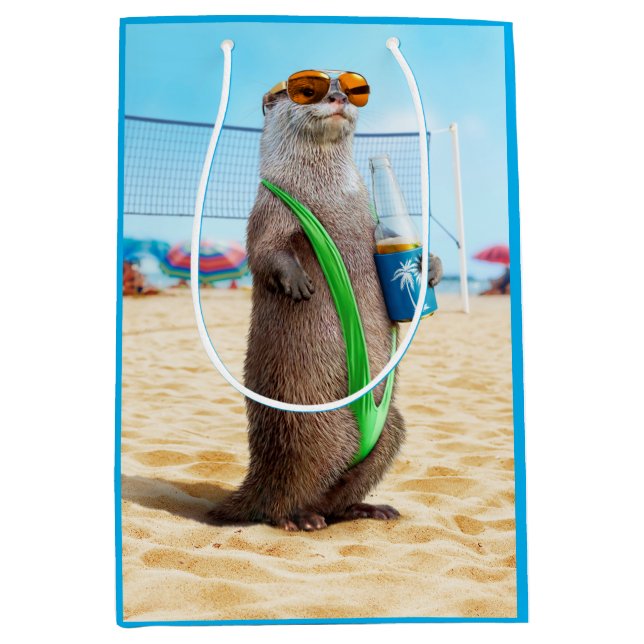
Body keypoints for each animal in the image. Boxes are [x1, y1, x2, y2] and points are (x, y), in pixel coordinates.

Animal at [207, 77, 443, 531]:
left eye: (351, 88)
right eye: (307, 89)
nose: (337, 96)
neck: (330, 197)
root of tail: (258, 476)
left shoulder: (375, 226)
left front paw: (431, 267)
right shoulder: (269, 209)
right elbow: (265, 253)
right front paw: (298, 281)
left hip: (391, 428)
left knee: (340, 490)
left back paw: (365, 509)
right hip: (312, 431)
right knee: (285, 495)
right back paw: (298, 519)